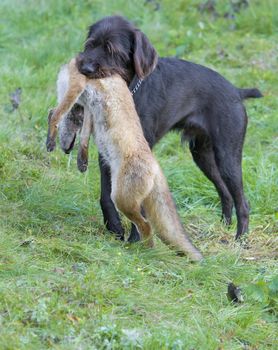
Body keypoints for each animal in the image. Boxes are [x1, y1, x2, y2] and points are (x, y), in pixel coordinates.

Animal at [46, 58, 203, 262]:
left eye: (75, 120)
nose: (66, 150)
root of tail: (155, 167)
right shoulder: (89, 108)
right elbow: (85, 136)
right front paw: (82, 160)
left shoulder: (78, 86)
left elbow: (55, 114)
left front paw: (50, 138)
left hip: (121, 199)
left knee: (146, 225)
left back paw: (144, 252)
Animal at [66, 15, 262, 242]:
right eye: (90, 45)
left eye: (112, 50)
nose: (85, 68)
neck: (128, 94)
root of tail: (237, 92)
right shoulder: (107, 153)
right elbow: (106, 195)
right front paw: (114, 227)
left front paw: (136, 239)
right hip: (203, 156)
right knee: (225, 192)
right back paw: (224, 226)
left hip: (227, 157)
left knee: (242, 200)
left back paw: (240, 238)